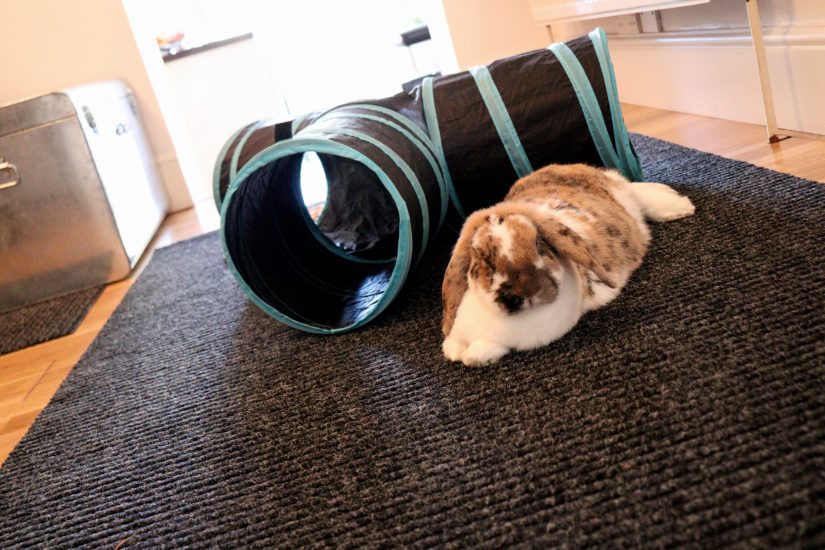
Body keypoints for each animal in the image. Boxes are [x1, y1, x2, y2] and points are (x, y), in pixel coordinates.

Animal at [442, 163, 695, 366]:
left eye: (539, 243)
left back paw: (681, 207)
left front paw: (472, 356)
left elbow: (489, 347)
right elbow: (453, 344)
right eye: (484, 259)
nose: (529, 292)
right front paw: (455, 352)